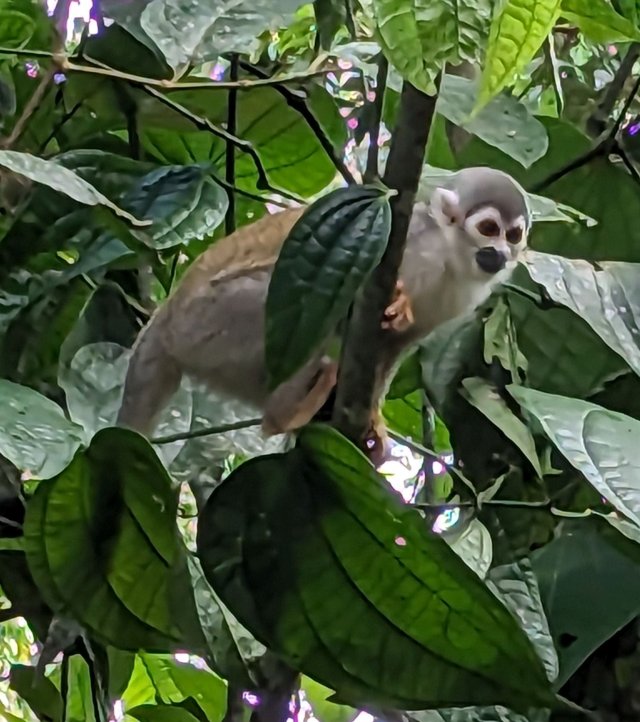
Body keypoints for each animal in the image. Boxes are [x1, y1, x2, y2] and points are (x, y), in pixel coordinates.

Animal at [116, 166, 530, 461]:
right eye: (488, 228)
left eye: (513, 235)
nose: (500, 253)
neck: (449, 257)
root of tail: (163, 320)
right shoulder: (410, 240)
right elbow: (343, 289)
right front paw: (394, 300)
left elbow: (394, 347)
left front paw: (372, 419)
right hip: (207, 323)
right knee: (307, 308)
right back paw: (284, 413)